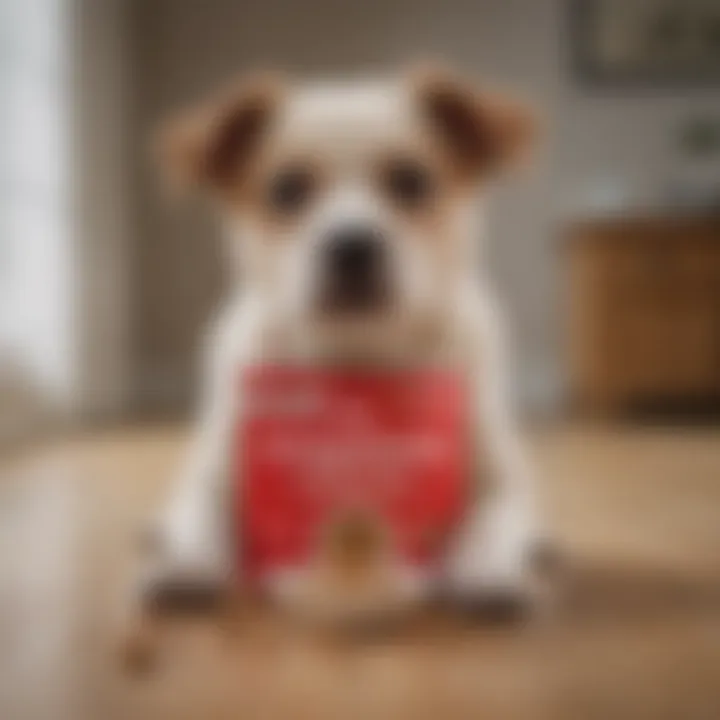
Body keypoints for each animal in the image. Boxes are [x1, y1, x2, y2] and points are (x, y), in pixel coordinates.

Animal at [134, 63, 552, 636]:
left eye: (411, 180)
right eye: (287, 189)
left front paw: (489, 574)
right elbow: (202, 517)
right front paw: (186, 567)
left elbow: (489, 525)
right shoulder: (219, 469)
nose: (352, 246)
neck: (356, 359)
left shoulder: (497, 479)